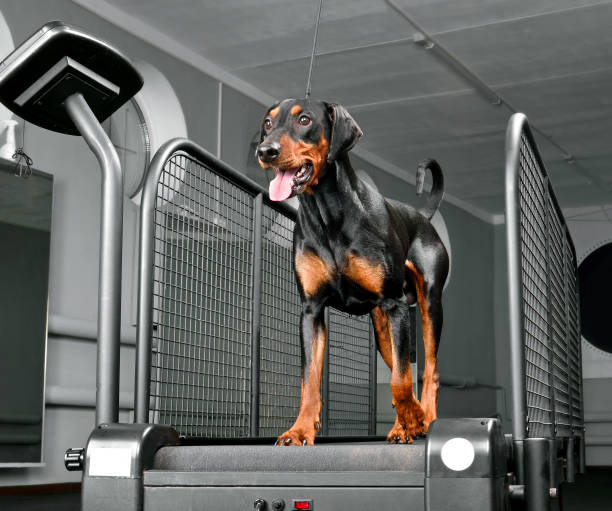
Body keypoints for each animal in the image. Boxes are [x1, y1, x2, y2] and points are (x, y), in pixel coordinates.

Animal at [256, 98, 448, 446]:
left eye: (304, 120)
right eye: (267, 123)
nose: (266, 151)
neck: (328, 213)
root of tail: (420, 215)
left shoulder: (394, 304)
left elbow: (400, 381)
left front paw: (411, 422)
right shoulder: (311, 310)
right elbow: (309, 381)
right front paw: (299, 431)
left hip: (428, 304)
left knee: (428, 370)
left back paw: (422, 417)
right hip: (383, 330)